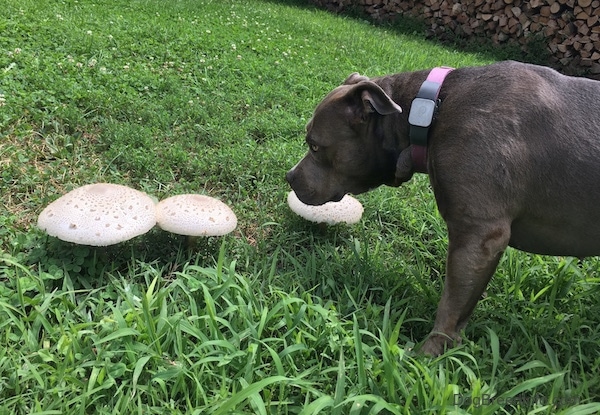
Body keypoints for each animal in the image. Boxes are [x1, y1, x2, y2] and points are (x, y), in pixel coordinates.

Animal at [284, 61, 600, 358]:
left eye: (314, 146)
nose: (289, 176)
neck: (430, 109)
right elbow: (463, 308)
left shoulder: (479, 234)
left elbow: (451, 304)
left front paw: (425, 357)